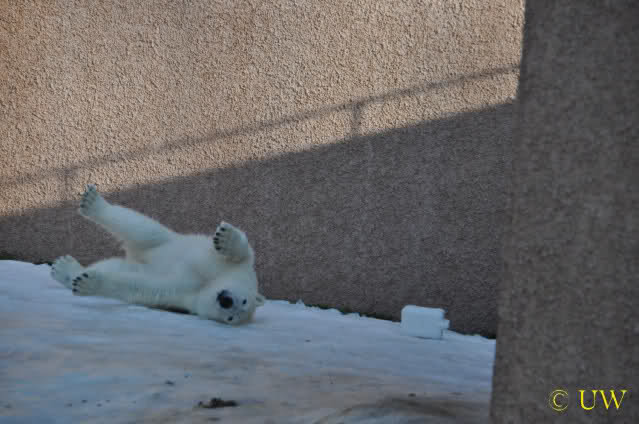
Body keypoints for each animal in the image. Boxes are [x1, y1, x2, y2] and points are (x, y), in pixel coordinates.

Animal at [50, 184, 265, 325]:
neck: (209, 284)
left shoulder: (185, 295)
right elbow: (244, 253)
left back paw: (65, 269)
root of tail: (137, 257)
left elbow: (142, 287)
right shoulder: (234, 267)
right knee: (145, 230)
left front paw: (88, 283)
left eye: (231, 318)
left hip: (138, 262)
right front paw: (226, 238)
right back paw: (93, 204)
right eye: (244, 300)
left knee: (120, 265)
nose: (227, 301)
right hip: (166, 243)